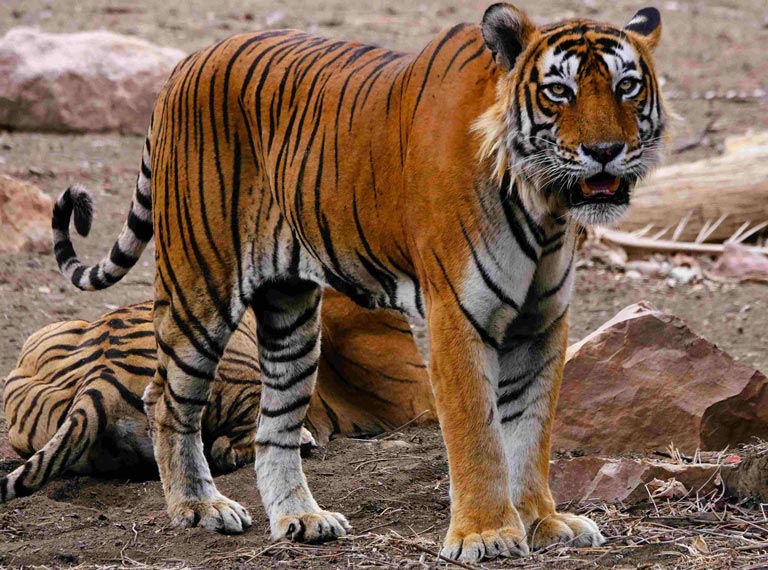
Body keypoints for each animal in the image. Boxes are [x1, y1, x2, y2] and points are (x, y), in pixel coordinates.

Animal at [50, 3, 666, 562]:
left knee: (274, 428)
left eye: (626, 86)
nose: (605, 152)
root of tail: (186, 63)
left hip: (292, 315)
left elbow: (531, 432)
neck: (543, 205)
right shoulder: (454, 317)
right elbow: (479, 433)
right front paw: (486, 534)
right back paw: (200, 507)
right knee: (166, 399)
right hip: (200, 284)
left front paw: (543, 523)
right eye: (559, 91)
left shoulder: (542, 323)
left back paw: (301, 519)